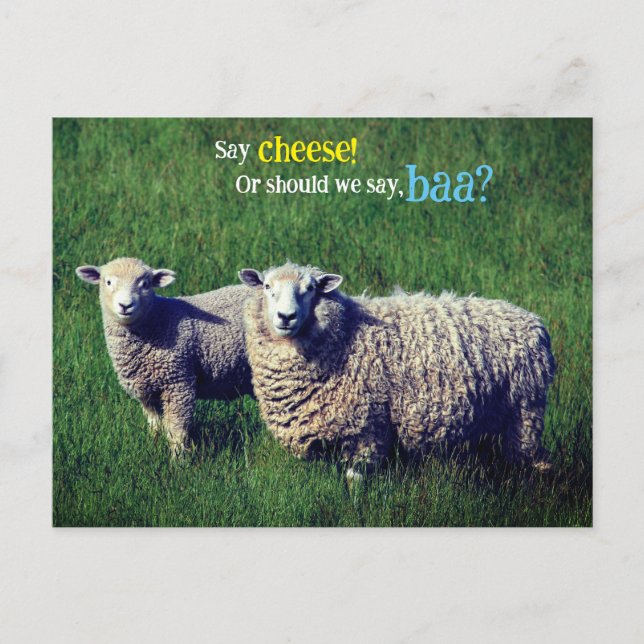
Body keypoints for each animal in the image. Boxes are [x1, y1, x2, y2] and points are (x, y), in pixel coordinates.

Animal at [76, 257, 252, 454]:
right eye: (108, 282)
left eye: (145, 284)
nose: (125, 305)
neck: (158, 318)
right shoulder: (147, 393)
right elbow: (155, 426)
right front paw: (154, 446)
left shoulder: (178, 383)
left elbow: (176, 431)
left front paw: (177, 458)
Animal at [239, 261, 556, 481]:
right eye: (267, 287)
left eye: (311, 289)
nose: (286, 317)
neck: (344, 335)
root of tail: (533, 321)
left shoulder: (370, 425)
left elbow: (355, 480)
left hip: (524, 412)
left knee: (530, 461)